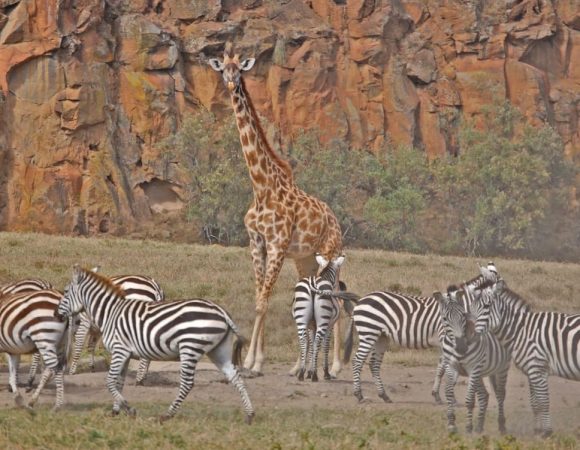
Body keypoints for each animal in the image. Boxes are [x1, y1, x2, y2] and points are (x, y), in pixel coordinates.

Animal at [57, 266, 255, 424]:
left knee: (187, 383)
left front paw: (129, 409)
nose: (57, 314)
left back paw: (166, 415)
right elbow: (119, 382)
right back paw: (249, 415)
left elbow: (110, 381)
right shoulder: (125, 353)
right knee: (235, 377)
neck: (109, 312)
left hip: (190, 348)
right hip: (218, 350)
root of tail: (221, 311)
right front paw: (116, 411)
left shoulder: (119, 350)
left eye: (65, 292)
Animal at [208, 44, 344, 376]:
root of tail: (336, 220)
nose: (230, 84)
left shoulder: (278, 244)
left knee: (336, 300)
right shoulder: (257, 243)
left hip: (330, 253)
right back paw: (298, 367)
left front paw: (252, 362)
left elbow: (263, 301)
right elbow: (260, 298)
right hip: (306, 260)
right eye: (222, 69)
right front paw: (254, 360)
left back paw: (334, 367)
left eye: (239, 69)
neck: (261, 187)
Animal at [436, 286, 512, 434]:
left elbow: (470, 400)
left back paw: (501, 425)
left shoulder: (473, 368)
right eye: (445, 319)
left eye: (463, 316)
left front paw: (468, 427)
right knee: (484, 395)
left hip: (501, 368)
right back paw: (479, 426)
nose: (461, 347)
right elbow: (448, 392)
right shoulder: (451, 366)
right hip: (481, 372)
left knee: (500, 394)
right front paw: (451, 423)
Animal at [472, 272, 580, 438]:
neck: (521, 330)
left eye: (487, 307)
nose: (475, 336)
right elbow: (535, 402)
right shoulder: (535, 370)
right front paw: (538, 430)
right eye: (472, 308)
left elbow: (543, 401)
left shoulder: (537, 367)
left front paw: (547, 432)